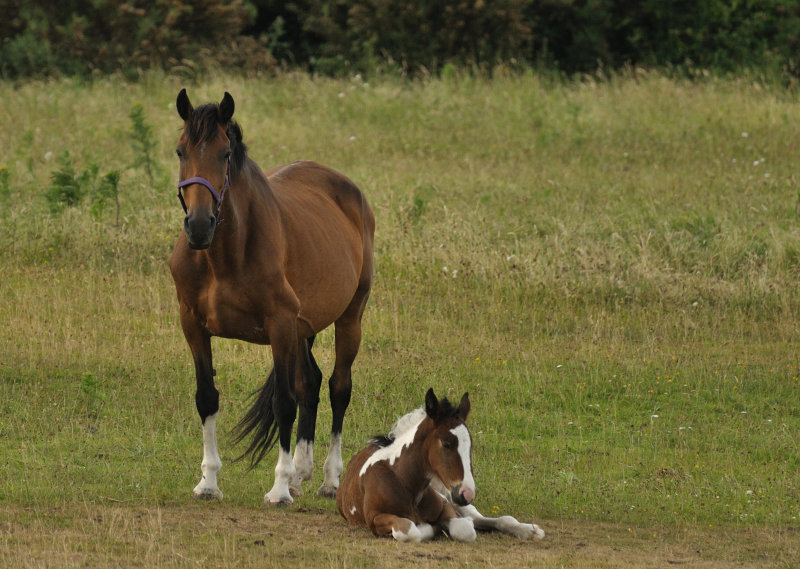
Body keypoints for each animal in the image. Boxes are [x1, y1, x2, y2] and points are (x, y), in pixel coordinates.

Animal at [170, 90, 376, 506]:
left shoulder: (280, 326)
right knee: (310, 383)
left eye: (225, 154)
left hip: (349, 319)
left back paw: (329, 479)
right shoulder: (193, 324)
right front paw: (209, 482)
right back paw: (301, 473)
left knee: (337, 387)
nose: (198, 226)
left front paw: (279, 487)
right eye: (181, 151)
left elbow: (284, 402)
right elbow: (207, 397)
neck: (225, 255)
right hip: (302, 330)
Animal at [334, 386, 548, 540]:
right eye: (446, 443)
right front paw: (430, 527)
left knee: (482, 518)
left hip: (450, 494)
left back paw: (529, 530)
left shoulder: (446, 505)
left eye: (470, 444)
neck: (405, 483)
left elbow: (465, 529)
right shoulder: (375, 518)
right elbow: (411, 530)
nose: (466, 493)